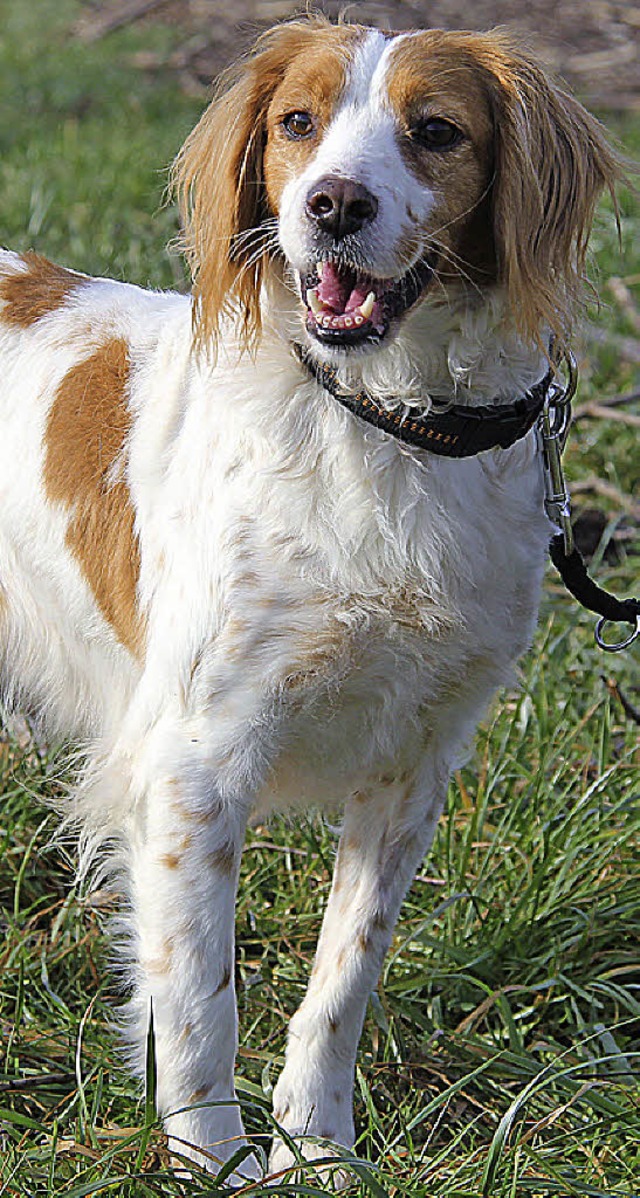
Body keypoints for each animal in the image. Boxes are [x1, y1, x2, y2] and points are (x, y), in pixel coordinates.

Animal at [0, 14, 623, 1183]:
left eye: (436, 131)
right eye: (297, 122)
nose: (333, 204)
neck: (382, 428)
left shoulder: (413, 764)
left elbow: (344, 978)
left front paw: (318, 1147)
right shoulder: (194, 764)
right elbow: (200, 999)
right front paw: (213, 1162)